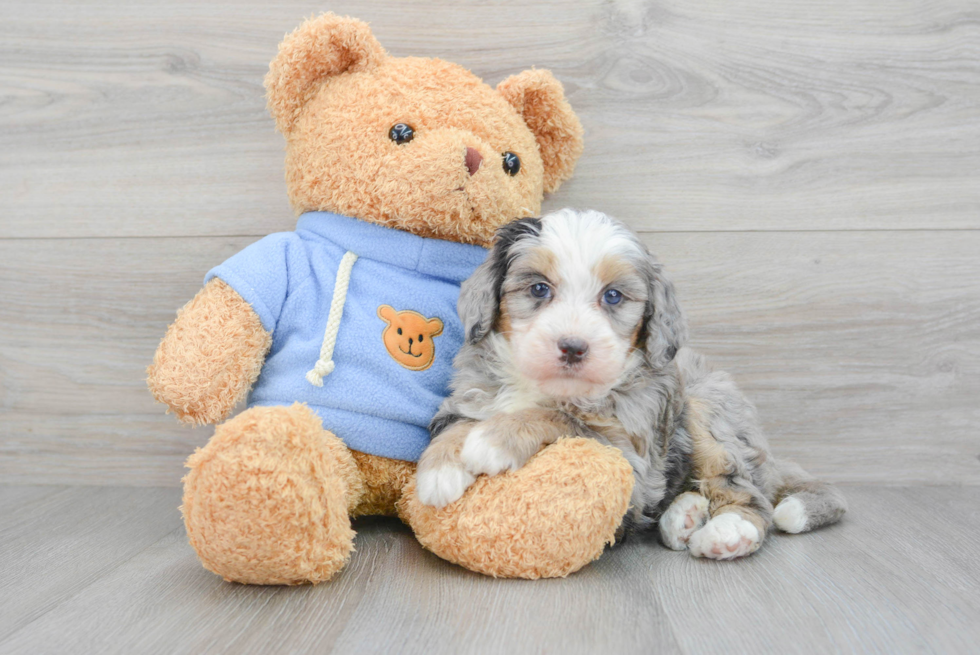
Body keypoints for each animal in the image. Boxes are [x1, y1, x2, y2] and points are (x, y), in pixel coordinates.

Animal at [418, 209, 848, 560]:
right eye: (539, 288)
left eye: (613, 296)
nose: (573, 347)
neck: (554, 388)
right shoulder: (467, 397)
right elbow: (458, 425)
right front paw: (439, 470)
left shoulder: (631, 457)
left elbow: (561, 419)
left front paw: (494, 439)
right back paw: (683, 517)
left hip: (707, 411)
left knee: (747, 493)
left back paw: (728, 532)